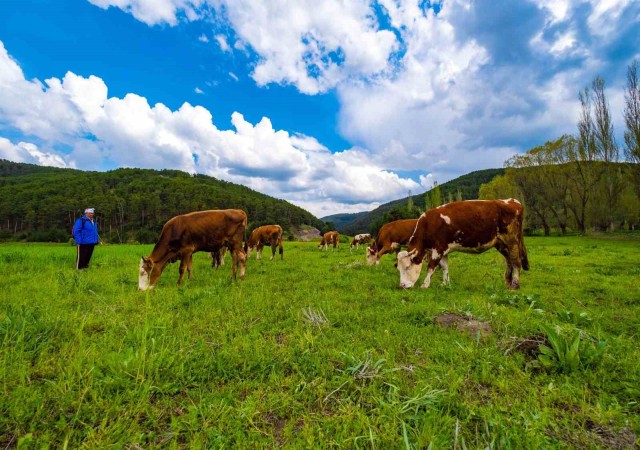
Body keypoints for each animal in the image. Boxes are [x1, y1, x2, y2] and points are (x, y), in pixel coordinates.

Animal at [396, 199, 528, 290]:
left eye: (407, 267)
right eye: (398, 268)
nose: (402, 286)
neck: (428, 224)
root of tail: (511, 201)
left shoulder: (437, 249)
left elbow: (431, 267)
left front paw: (425, 284)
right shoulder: (443, 250)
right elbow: (445, 267)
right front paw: (445, 283)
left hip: (512, 242)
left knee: (516, 262)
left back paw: (514, 286)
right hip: (501, 244)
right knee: (509, 261)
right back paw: (508, 283)